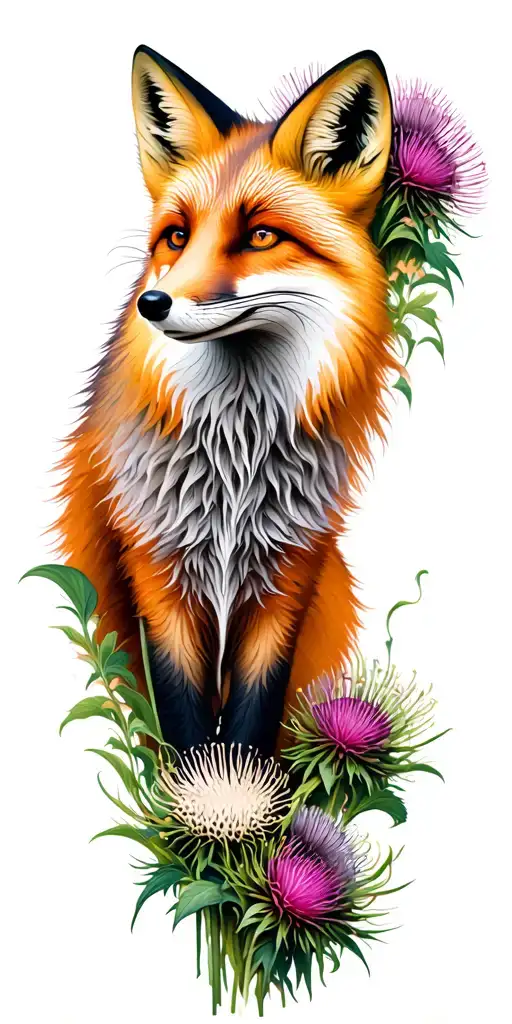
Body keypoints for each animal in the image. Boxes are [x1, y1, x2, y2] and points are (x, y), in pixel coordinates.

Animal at [56, 44, 399, 757]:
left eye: (262, 236)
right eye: (176, 237)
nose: (152, 303)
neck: (236, 453)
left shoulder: (290, 572)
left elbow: (251, 717)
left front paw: (244, 786)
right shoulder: (155, 566)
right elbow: (183, 720)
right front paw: (193, 788)